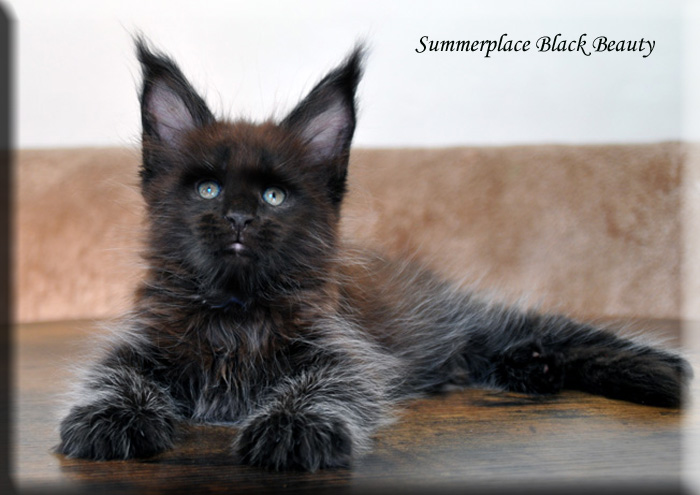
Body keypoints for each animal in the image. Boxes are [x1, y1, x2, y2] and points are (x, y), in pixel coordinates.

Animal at [57, 39, 693, 472]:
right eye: (209, 189)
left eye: (274, 195)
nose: (240, 216)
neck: (236, 315)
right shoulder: (146, 336)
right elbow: (113, 373)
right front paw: (108, 417)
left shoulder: (346, 346)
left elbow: (332, 382)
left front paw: (294, 428)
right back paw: (532, 369)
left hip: (464, 318)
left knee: (546, 328)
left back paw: (662, 371)